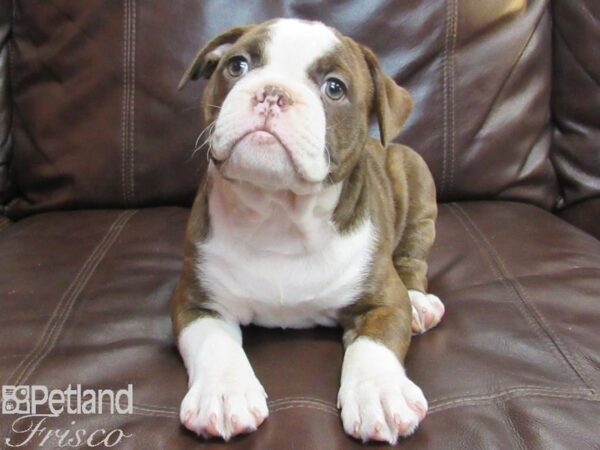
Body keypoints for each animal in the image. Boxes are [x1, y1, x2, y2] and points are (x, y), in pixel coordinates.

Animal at [171, 19, 442, 444]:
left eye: (334, 88)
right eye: (237, 66)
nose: (273, 93)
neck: (279, 215)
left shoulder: (384, 302)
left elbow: (374, 345)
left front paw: (380, 393)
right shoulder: (197, 301)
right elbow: (214, 343)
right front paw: (224, 393)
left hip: (413, 172)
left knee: (413, 257)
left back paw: (420, 303)